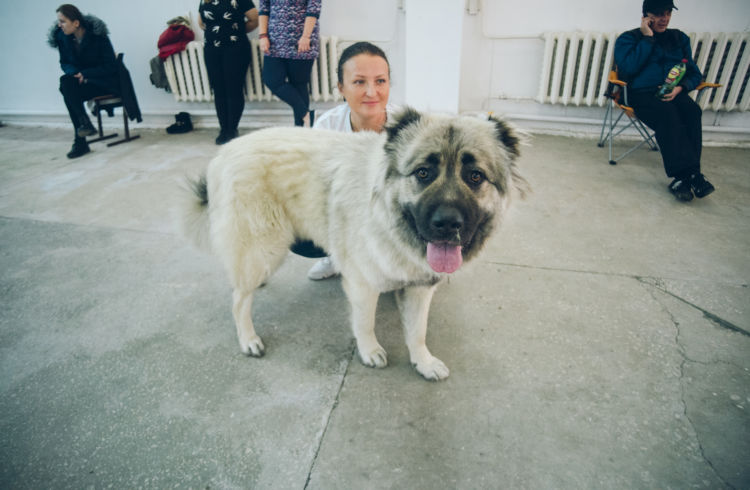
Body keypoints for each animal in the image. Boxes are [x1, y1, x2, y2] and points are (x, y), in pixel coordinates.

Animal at [184, 109, 528, 380]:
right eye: (423, 173)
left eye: (475, 176)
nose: (447, 223)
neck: (388, 218)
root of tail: (223, 155)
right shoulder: (364, 284)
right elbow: (365, 323)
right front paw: (370, 351)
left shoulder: (419, 287)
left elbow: (417, 331)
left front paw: (423, 362)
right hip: (264, 247)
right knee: (238, 300)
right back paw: (248, 338)